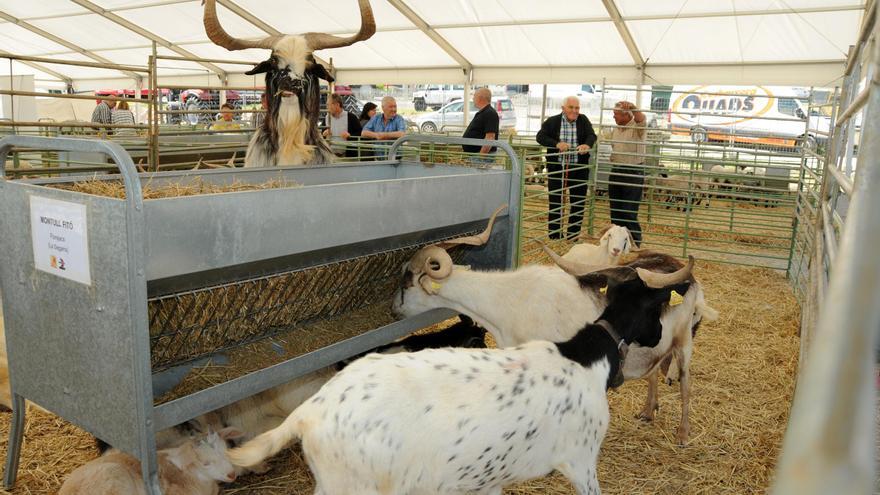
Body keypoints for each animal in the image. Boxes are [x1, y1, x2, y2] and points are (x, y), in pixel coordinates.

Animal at [230, 258, 696, 494]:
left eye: (407, 282)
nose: (393, 311)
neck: (505, 299)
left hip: (686, 346)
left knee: (685, 384)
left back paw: (681, 432)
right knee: (655, 376)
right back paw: (649, 410)